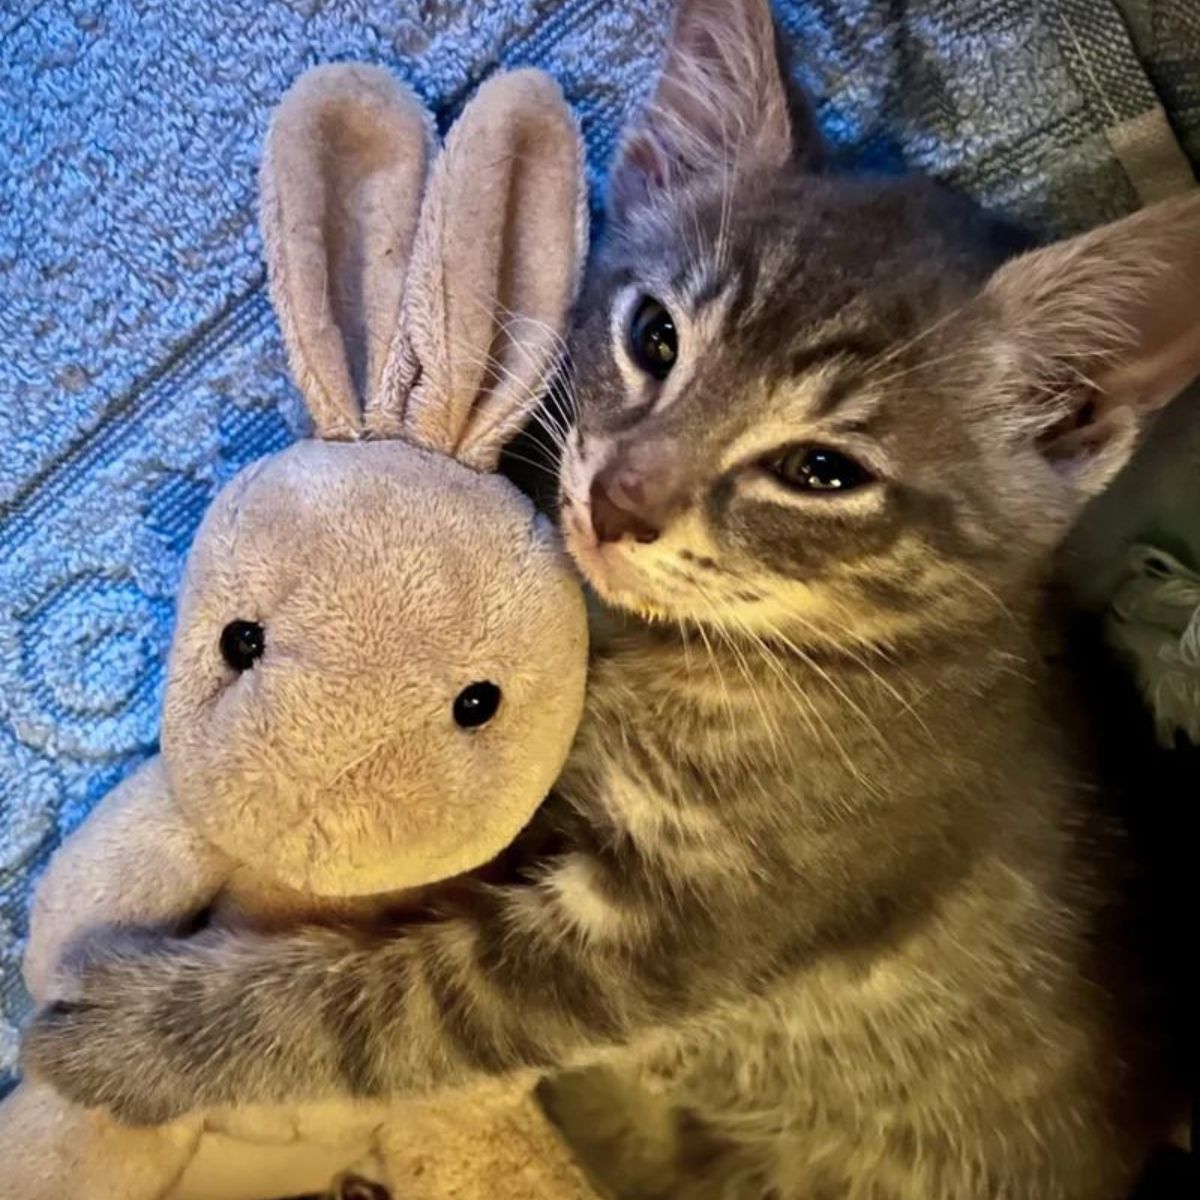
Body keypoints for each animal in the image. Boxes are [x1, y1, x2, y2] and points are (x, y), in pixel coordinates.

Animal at [18, 2, 1200, 1200]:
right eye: (656, 337)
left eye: (823, 472)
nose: (621, 499)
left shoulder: (665, 935)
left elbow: (382, 1007)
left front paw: (142, 1040)